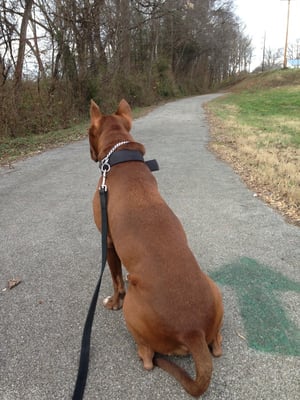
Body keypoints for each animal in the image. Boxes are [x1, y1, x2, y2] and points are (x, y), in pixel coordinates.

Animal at [87, 99, 223, 396]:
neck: (121, 156)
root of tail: (192, 331)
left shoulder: (108, 242)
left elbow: (115, 279)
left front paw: (112, 301)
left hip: (134, 313)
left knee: (149, 357)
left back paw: (145, 355)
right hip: (214, 290)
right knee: (217, 346)